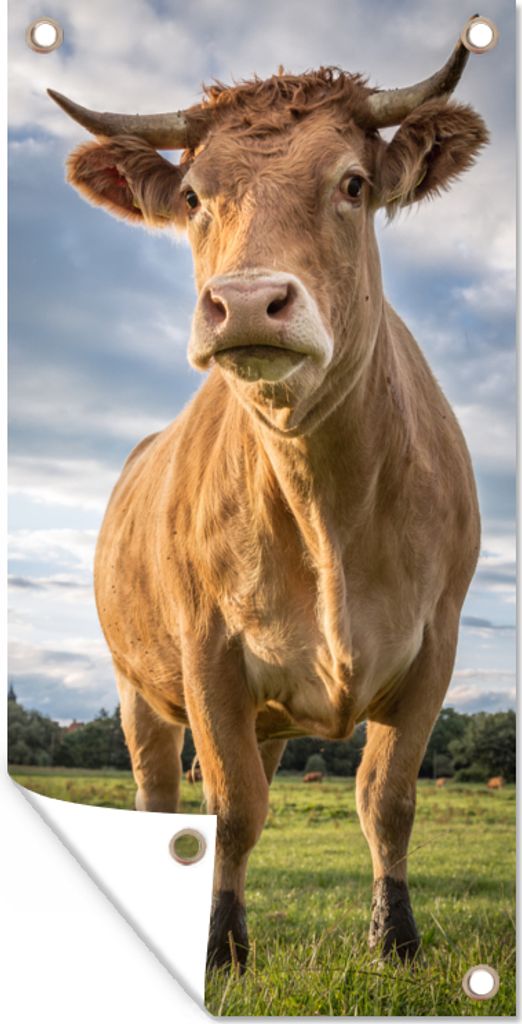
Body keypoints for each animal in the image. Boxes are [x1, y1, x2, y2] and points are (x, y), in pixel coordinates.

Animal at [49, 24, 487, 970]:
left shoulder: (435, 647)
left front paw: (395, 938)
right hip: (138, 689)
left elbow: (387, 799)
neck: (328, 508)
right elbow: (230, 808)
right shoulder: (206, 651)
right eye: (192, 196)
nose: (248, 302)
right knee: (160, 795)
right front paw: (220, 945)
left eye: (353, 184)